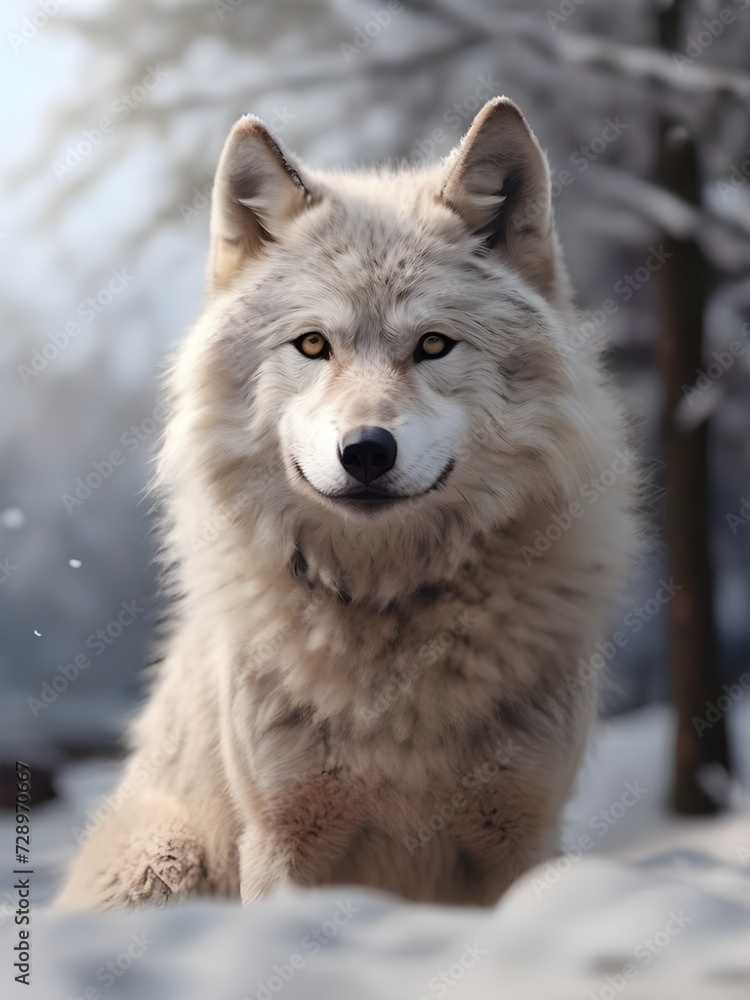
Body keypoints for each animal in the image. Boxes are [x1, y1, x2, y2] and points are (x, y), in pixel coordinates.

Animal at [57, 97, 637, 910]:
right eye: (311, 346)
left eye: (433, 345)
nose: (365, 451)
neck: (387, 601)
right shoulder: (283, 837)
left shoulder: (524, 831)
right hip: (161, 860)